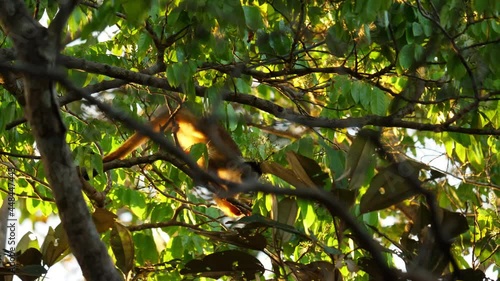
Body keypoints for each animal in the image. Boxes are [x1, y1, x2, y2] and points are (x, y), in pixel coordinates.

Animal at [103, 106, 260, 215]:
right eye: (249, 176)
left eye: (255, 180)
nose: (252, 188)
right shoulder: (229, 163)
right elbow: (213, 163)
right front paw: (214, 183)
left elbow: (224, 200)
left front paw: (241, 211)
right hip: (194, 127)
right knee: (205, 145)